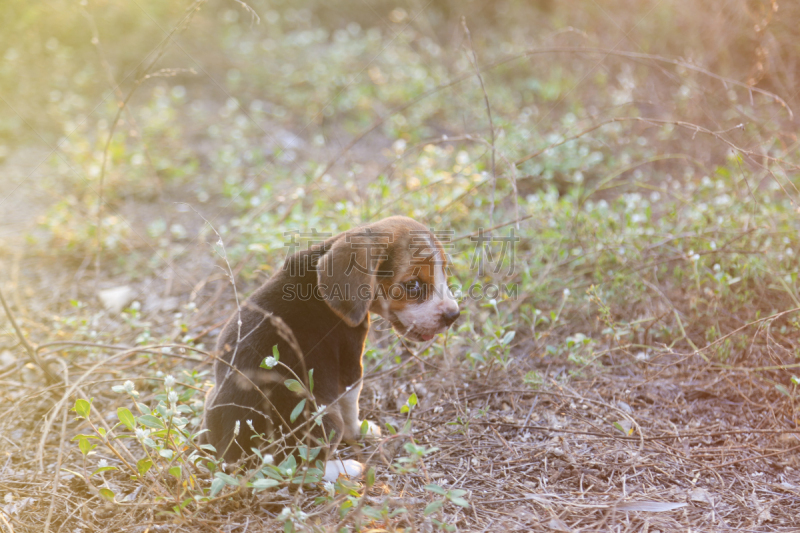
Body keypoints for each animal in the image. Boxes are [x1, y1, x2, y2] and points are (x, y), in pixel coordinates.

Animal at [203, 216, 460, 478]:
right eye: (413, 285)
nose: (454, 314)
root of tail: (235, 458)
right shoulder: (350, 366)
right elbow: (351, 406)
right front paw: (360, 431)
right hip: (324, 418)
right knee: (304, 467)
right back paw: (347, 468)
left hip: (209, 395)